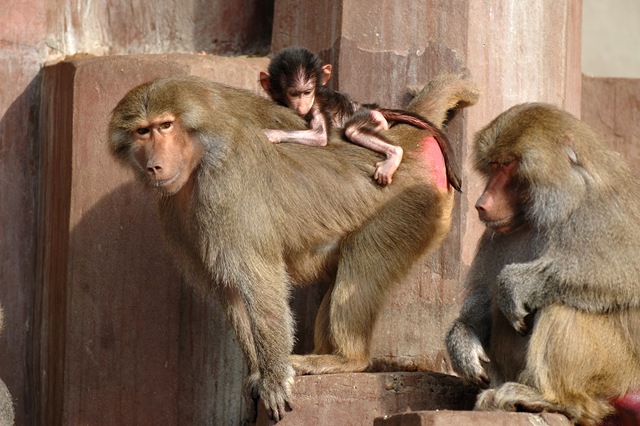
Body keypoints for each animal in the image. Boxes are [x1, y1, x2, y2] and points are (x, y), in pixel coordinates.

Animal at [108, 73, 479, 421]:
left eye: (165, 126)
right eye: (142, 132)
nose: (155, 165)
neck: (200, 155)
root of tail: (406, 142)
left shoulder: (225, 187)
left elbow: (259, 281)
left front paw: (273, 379)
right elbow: (230, 293)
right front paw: (258, 376)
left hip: (411, 208)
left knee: (364, 256)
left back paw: (346, 359)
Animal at [259, 46, 462, 190]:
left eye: (307, 92)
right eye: (294, 94)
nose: (302, 105)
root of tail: (364, 106)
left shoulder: (316, 104)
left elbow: (320, 136)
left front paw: (272, 134)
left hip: (364, 116)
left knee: (353, 130)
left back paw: (394, 152)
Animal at [445, 102, 640, 426]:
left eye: (508, 164)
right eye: (494, 165)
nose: (481, 203)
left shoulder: (607, 214)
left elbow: (626, 280)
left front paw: (515, 284)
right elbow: (484, 297)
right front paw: (462, 340)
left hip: (619, 370)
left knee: (559, 306)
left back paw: (552, 399)